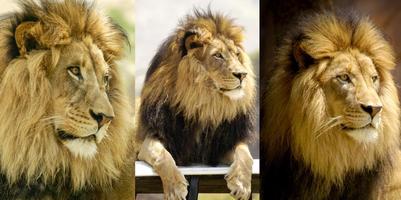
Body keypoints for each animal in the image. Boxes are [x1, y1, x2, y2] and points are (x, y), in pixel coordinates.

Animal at [137, 9, 256, 200]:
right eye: (218, 55)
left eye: (237, 54)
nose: (242, 74)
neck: (205, 103)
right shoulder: (152, 138)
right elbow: (162, 156)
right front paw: (175, 188)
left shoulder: (222, 145)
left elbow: (245, 155)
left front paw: (242, 184)